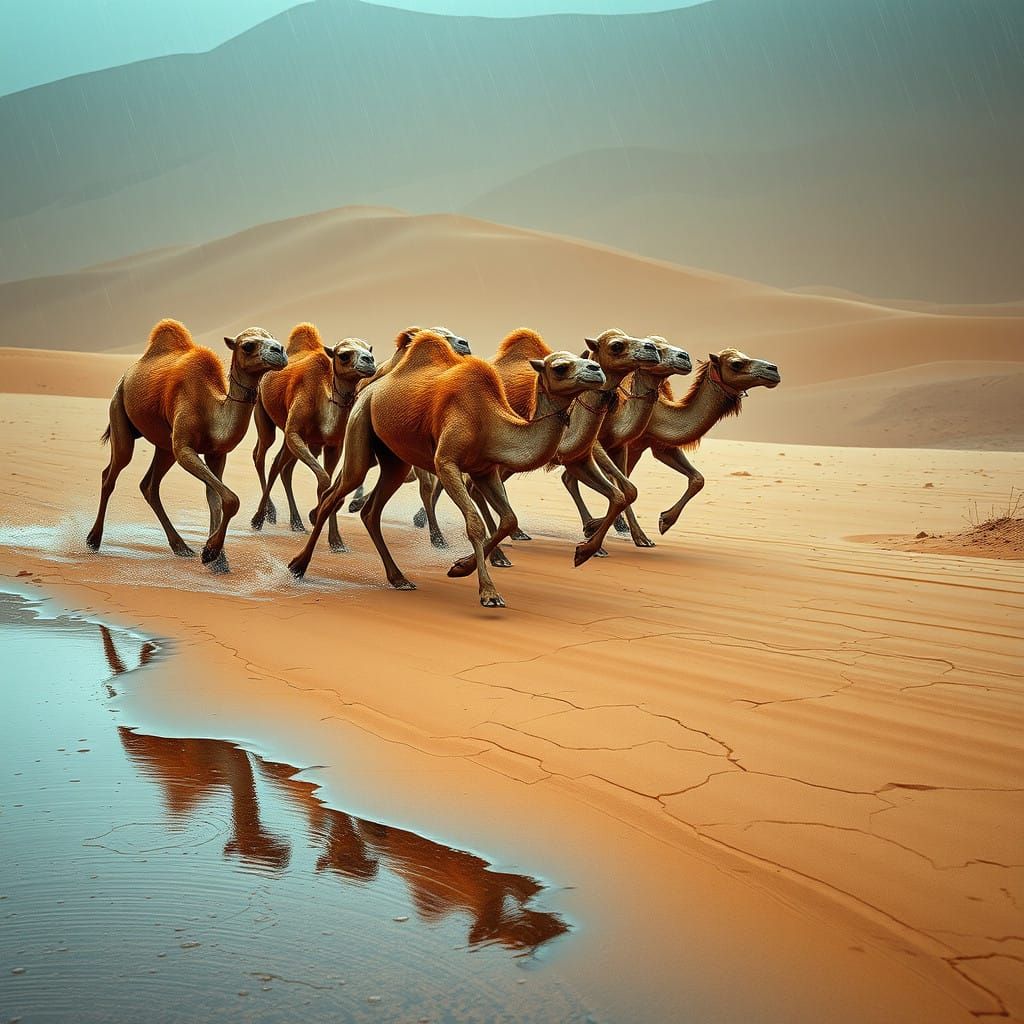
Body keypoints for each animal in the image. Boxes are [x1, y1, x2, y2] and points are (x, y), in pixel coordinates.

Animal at [87, 319, 287, 572]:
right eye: (248, 345)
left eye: (273, 337)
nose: (280, 350)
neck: (212, 410)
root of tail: (127, 374)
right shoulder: (184, 449)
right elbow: (231, 499)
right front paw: (210, 553)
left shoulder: (217, 453)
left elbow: (215, 498)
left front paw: (218, 559)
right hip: (119, 412)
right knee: (111, 474)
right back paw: (93, 540)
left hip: (164, 447)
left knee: (149, 485)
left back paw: (180, 547)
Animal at [250, 322, 375, 552]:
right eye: (344, 355)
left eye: (368, 349)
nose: (369, 361)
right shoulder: (295, 432)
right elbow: (324, 480)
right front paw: (316, 515)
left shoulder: (334, 445)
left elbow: (328, 480)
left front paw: (336, 541)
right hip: (265, 415)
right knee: (263, 456)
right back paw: (261, 518)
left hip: (296, 440)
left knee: (282, 466)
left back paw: (296, 523)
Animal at [288, 329, 606, 607]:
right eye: (560, 367)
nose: (596, 369)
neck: (490, 420)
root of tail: (370, 389)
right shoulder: (447, 463)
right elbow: (474, 523)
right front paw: (489, 593)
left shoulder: (484, 469)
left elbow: (509, 519)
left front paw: (460, 567)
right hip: (360, 429)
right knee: (334, 495)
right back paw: (299, 565)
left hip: (394, 460)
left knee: (371, 511)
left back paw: (399, 578)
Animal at [614, 348, 781, 543]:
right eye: (736, 364)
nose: (773, 370)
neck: (657, 413)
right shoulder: (626, 443)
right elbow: (624, 481)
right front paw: (639, 536)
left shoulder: (658, 445)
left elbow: (698, 479)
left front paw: (665, 520)